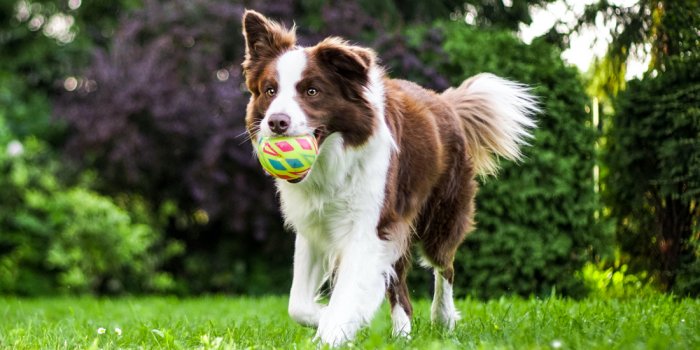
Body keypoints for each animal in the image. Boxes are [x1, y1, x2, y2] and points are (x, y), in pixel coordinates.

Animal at [243, 10, 540, 344]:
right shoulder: (315, 226)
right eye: (270, 91)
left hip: (441, 215)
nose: (276, 122)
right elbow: (298, 305)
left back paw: (443, 318)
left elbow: (348, 292)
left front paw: (334, 330)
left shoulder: (369, 226)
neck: (332, 161)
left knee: (444, 266)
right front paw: (329, 319)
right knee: (400, 286)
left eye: (312, 91)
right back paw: (402, 333)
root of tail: (446, 102)